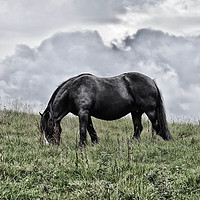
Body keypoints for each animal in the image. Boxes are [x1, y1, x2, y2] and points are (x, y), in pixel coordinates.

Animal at [39, 72, 173, 145]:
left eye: (47, 127)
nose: (51, 145)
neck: (73, 90)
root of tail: (152, 81)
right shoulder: (86, 114)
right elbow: (90, 129)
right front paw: (95, 143)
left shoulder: (83, 112)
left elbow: (82, 129)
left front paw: (82, 146)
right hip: (136, 112)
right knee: (138, 128)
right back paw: (133, 143)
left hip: (149, 111)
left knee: (157, 126)